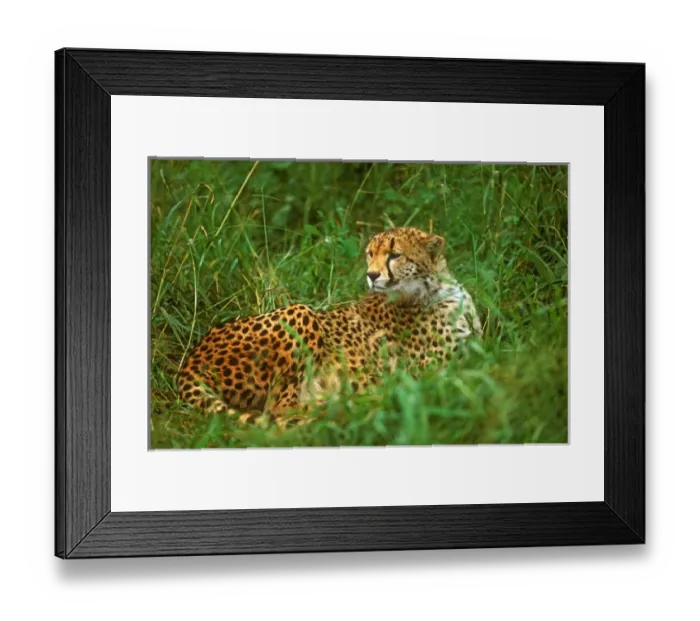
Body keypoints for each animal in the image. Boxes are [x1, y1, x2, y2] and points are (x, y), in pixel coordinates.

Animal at [177, 226, 482, 427]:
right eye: (370, 254)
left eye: (395, 255)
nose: (371, 275)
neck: (435, 288)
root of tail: (191, 358)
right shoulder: (432, 370)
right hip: (301, 313)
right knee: (278, 410)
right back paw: (350, 404)